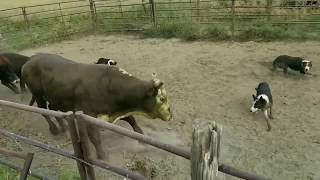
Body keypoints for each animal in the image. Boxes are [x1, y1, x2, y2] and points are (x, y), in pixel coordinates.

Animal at [21, 53, 172, 159]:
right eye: (162, 98)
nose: (171, 114)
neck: (108, 84)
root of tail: (30, 60)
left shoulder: (115, 110)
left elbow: (132, 121)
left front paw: (142, 139)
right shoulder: (88, 115)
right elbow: (95, 138)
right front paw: (102, 156)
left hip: (55, 98)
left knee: (53, 110)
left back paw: (64, 128)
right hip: (38, 95)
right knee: (43, 111)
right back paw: (54, 129)